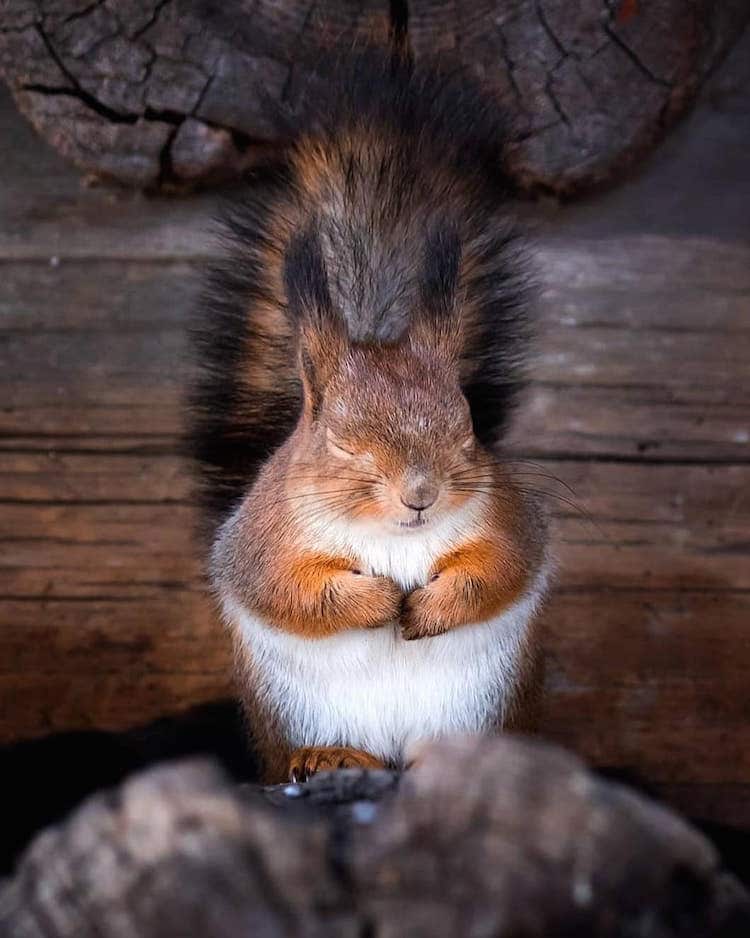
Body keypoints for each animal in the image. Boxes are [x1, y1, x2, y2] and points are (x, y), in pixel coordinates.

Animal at [188, 49, 552, 784]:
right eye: (340, 440)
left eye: (466, 427)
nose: (421, 495)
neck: (394, 537)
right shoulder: (264, 537)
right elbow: (291, 590)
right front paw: (379, 601)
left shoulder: (507, 515)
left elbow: (499, 568)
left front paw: (430, 606)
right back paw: (328, 755)